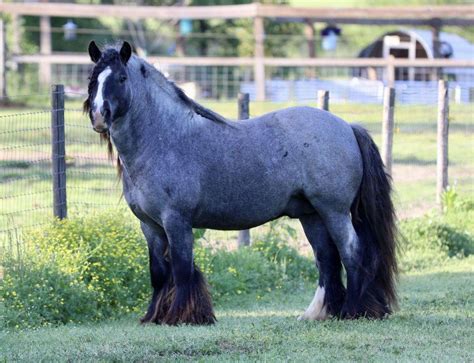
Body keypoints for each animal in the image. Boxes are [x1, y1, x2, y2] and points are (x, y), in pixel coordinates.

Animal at [83, 41, 398, 326]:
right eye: (93, 79)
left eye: (121, 78)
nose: (99, 115)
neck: (164, 138)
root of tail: (347, 127)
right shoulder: (149, 225)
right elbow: (159, 272)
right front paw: (153, 317)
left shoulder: (176, 221)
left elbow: (182, 269)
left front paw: (181, 317)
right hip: (312, 215)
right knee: (327, 260)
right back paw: (318, 313)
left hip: (334, 212)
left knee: (351, 253)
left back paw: (352, 311)